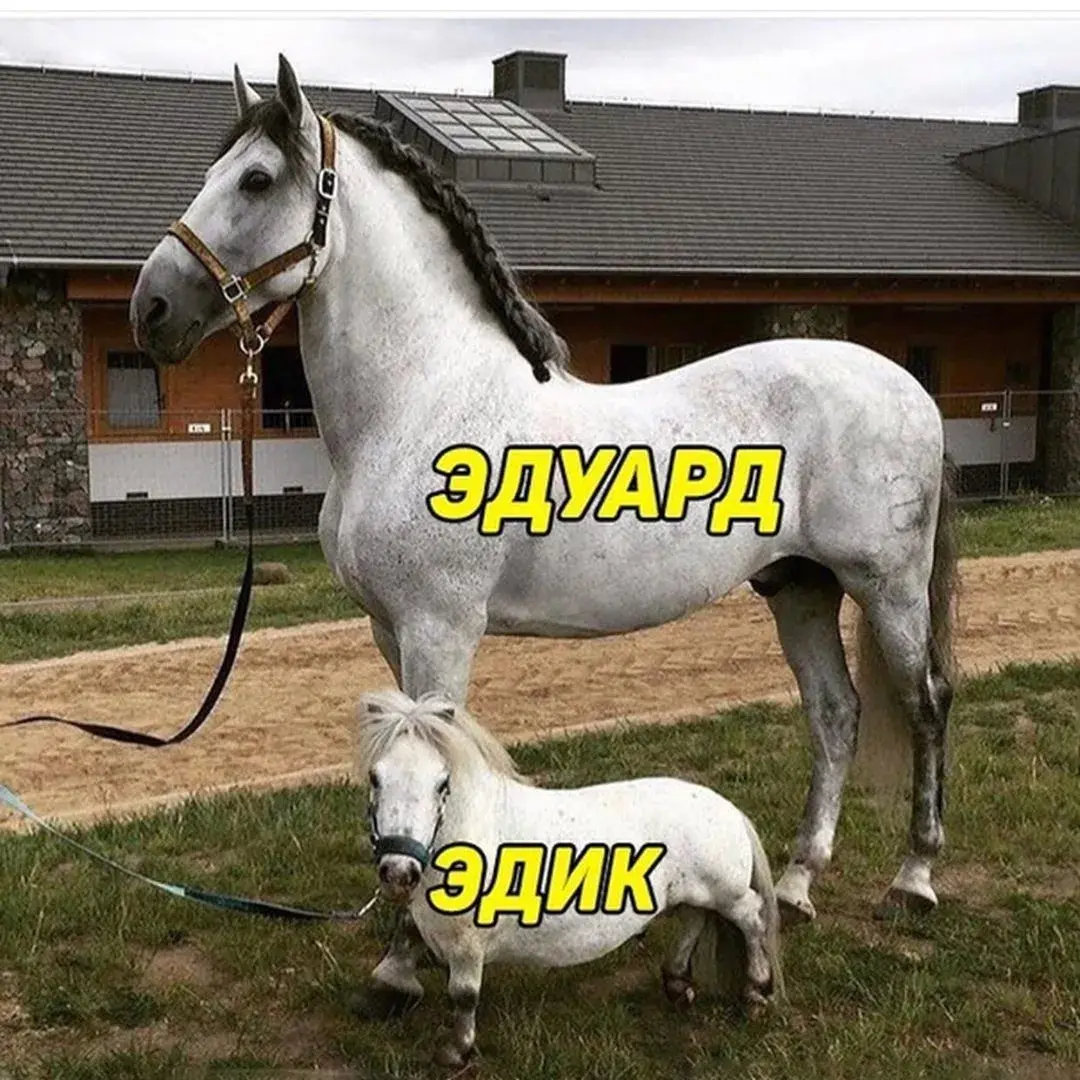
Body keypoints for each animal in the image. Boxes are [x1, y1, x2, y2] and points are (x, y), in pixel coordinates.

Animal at [129, 53, 957, 1015]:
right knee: (834, 713)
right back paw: (796, 886)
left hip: (886, 585)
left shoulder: (440, 629)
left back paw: (914, 881)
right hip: (799, 587)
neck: (419, 398)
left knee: (925, 703)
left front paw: (400, 967)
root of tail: (909, 388)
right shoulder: (389, 630)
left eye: (257, 180)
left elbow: (434, 755)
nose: (151, 310)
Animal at [357, 688, 784, 1066]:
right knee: (695, 919)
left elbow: (463, 994)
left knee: (752, 918)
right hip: (693, 892)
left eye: (442, 784)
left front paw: (456, 1051)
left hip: (726, 892)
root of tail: (726, 806)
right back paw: (677, 984)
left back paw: (756, 995)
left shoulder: (467, 943)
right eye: (375, 779)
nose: (398, 872)